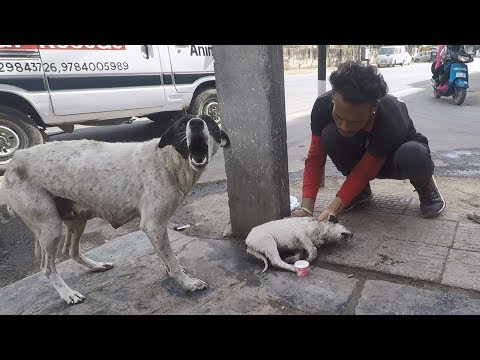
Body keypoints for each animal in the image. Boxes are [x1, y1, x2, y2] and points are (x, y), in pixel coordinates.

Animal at [0, 113, 231, 304]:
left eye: (209, 122)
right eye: (183, 123)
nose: (196, 123)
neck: (167, 161)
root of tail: (13, 162)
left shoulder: (155, 228)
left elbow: (165, 256)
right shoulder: (153, 224)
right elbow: (171, 261)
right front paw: (187, 282)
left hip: (76, 220)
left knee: (70, 251)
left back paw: (96, 266)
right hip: (50, 227)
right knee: (47, 268)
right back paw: (67, 293)